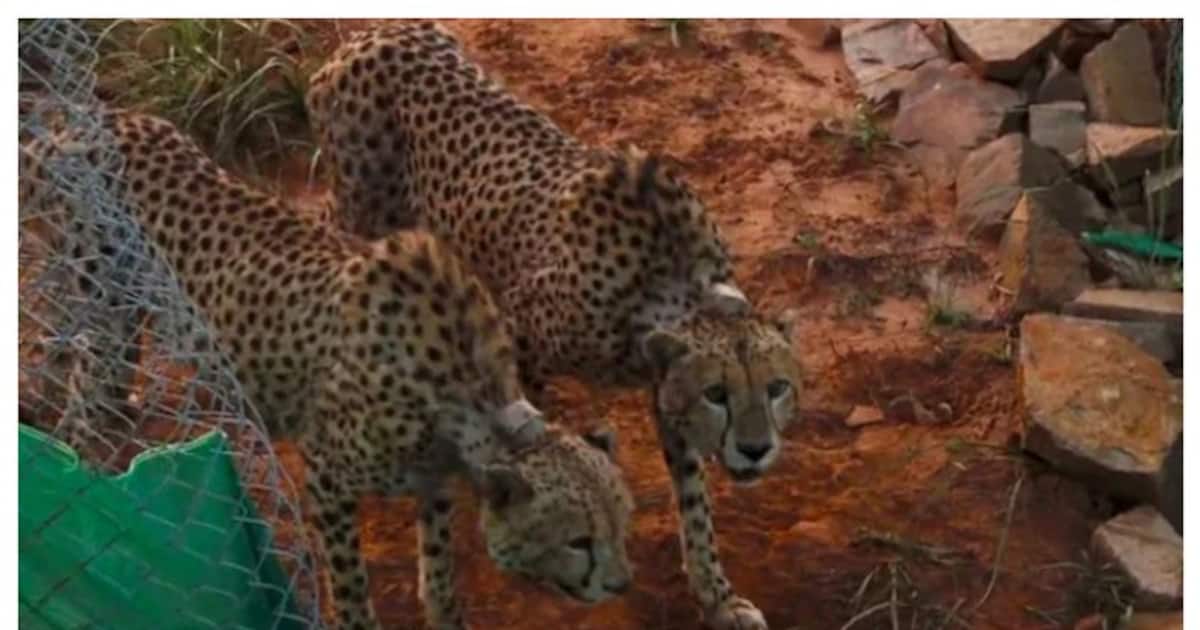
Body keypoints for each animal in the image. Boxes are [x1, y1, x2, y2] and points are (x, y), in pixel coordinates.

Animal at [18, 108, 635, 630]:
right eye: (578, 540)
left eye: (621, 522)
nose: (621, 584)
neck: (465, 391)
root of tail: (77, 126)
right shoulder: (327, 478)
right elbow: (351, 583)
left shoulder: (435, 476)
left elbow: (438, 564)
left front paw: (445, 615)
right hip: (105, 307)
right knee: (82, 386)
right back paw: (93, 478)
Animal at [306, 22, 803, 630]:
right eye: (717, 394)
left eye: (777, 387)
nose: (756, 449)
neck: (671, 280)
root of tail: (373, 32)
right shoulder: (519, 331)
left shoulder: (661, 378)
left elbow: (693, 499)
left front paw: (717, 596)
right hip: (362, 208)